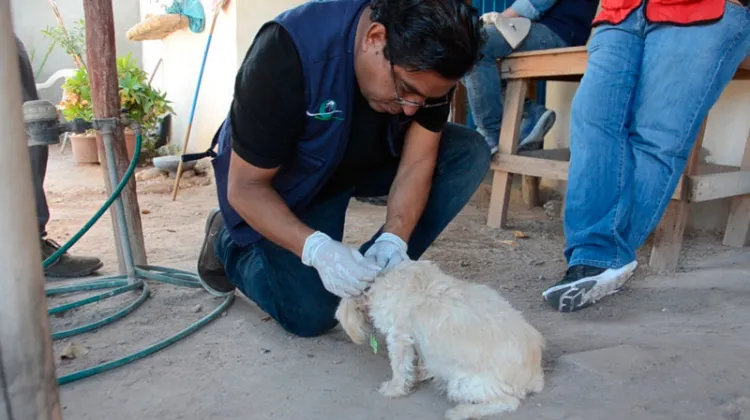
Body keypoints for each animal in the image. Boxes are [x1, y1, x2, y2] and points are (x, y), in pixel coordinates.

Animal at [338, 260, 544, 420]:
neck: (383, 278)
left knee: (509, 402)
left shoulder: (398, 337)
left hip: (462, 383)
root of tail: (534, 375)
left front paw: (394, 389)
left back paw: (462, 411)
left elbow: (399, 368)